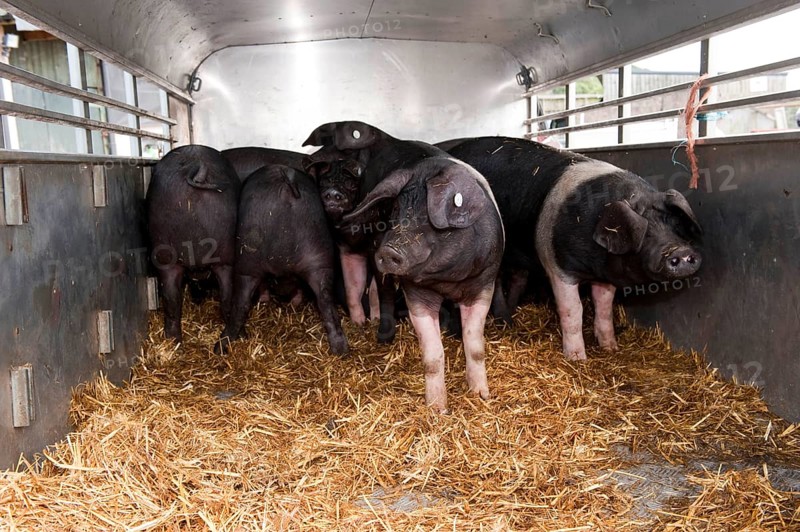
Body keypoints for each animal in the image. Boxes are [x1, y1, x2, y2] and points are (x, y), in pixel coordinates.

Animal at [146, 144, 241, 342]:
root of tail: (196, 168)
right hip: (225, 257)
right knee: (226, 297)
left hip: (165, 255)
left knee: (171, 300)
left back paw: (173, 341)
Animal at [216, 164, 348, 356]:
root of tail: (286, 187)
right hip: (319, 256)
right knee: (326, 301)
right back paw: (341, 350)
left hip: (247, 260)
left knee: (241, 305)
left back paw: (220, 346)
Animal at [438, 136, 702, 361]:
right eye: (644, 231)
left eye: (675, 225)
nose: (679, 252)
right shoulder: (557, 267)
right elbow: (572, 310)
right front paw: (578, 359)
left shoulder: (604, 275)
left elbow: (604, 308)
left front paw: (610, 348)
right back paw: (505, 321)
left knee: (518, 279)